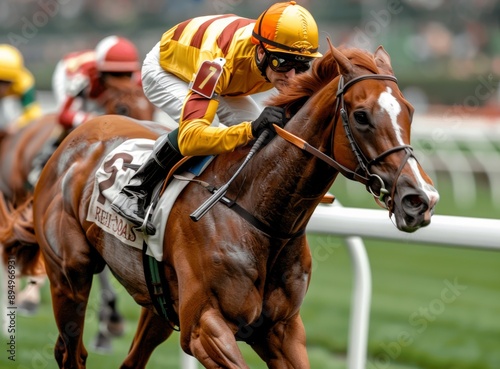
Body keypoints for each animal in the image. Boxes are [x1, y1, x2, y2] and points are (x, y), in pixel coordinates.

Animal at [6, 44, 438, 366]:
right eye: (361, 116)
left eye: (410, 110)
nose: (420, 199)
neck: (260, 214)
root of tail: (74, 140)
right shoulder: (205, 328)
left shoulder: (282, 330)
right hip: (70, 275)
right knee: (71, 350)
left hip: (158, 304)